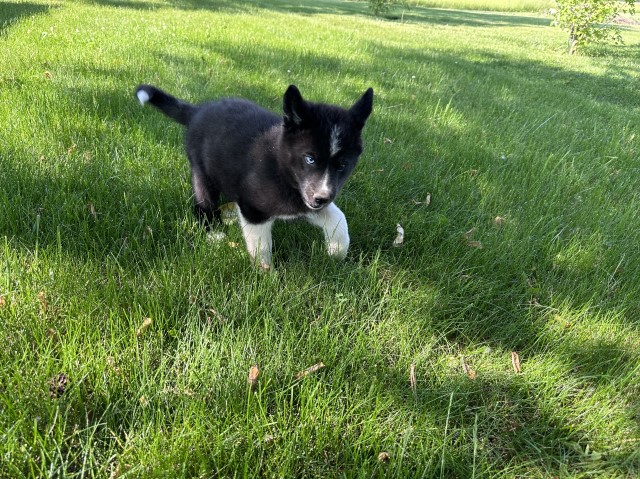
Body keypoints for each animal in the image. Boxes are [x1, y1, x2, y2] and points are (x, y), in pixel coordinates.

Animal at [136, 84, 376, 268]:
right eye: (310, 159)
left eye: (343, 165)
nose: (322, 198)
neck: (280, 169)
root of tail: (197, 111)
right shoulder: (254, 210)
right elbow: (261, 245)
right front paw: (267, 276)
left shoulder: (306, 203)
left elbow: (339, 218)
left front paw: (337, 253)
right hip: (203, 174)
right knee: (202, 205)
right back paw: (212, 233)